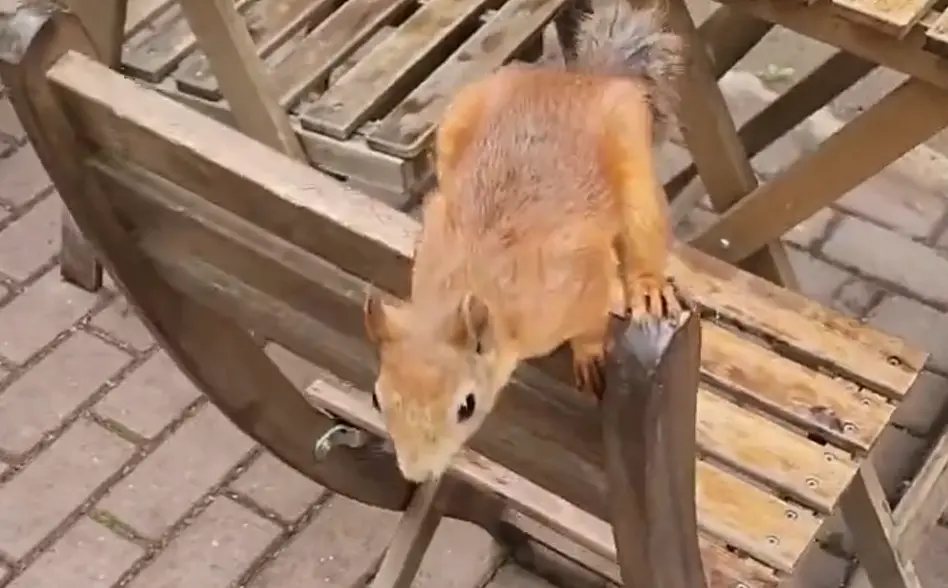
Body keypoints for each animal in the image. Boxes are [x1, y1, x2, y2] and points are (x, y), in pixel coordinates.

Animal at [363, 0, 685, 482]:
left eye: (467, 406)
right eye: (377, 397)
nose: (416, 476)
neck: (470, 283)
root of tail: (583, 80)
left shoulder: (575, 280)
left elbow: (591, 321)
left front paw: (588, 354)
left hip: (634, 165)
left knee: (642, 235)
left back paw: (648, 286)